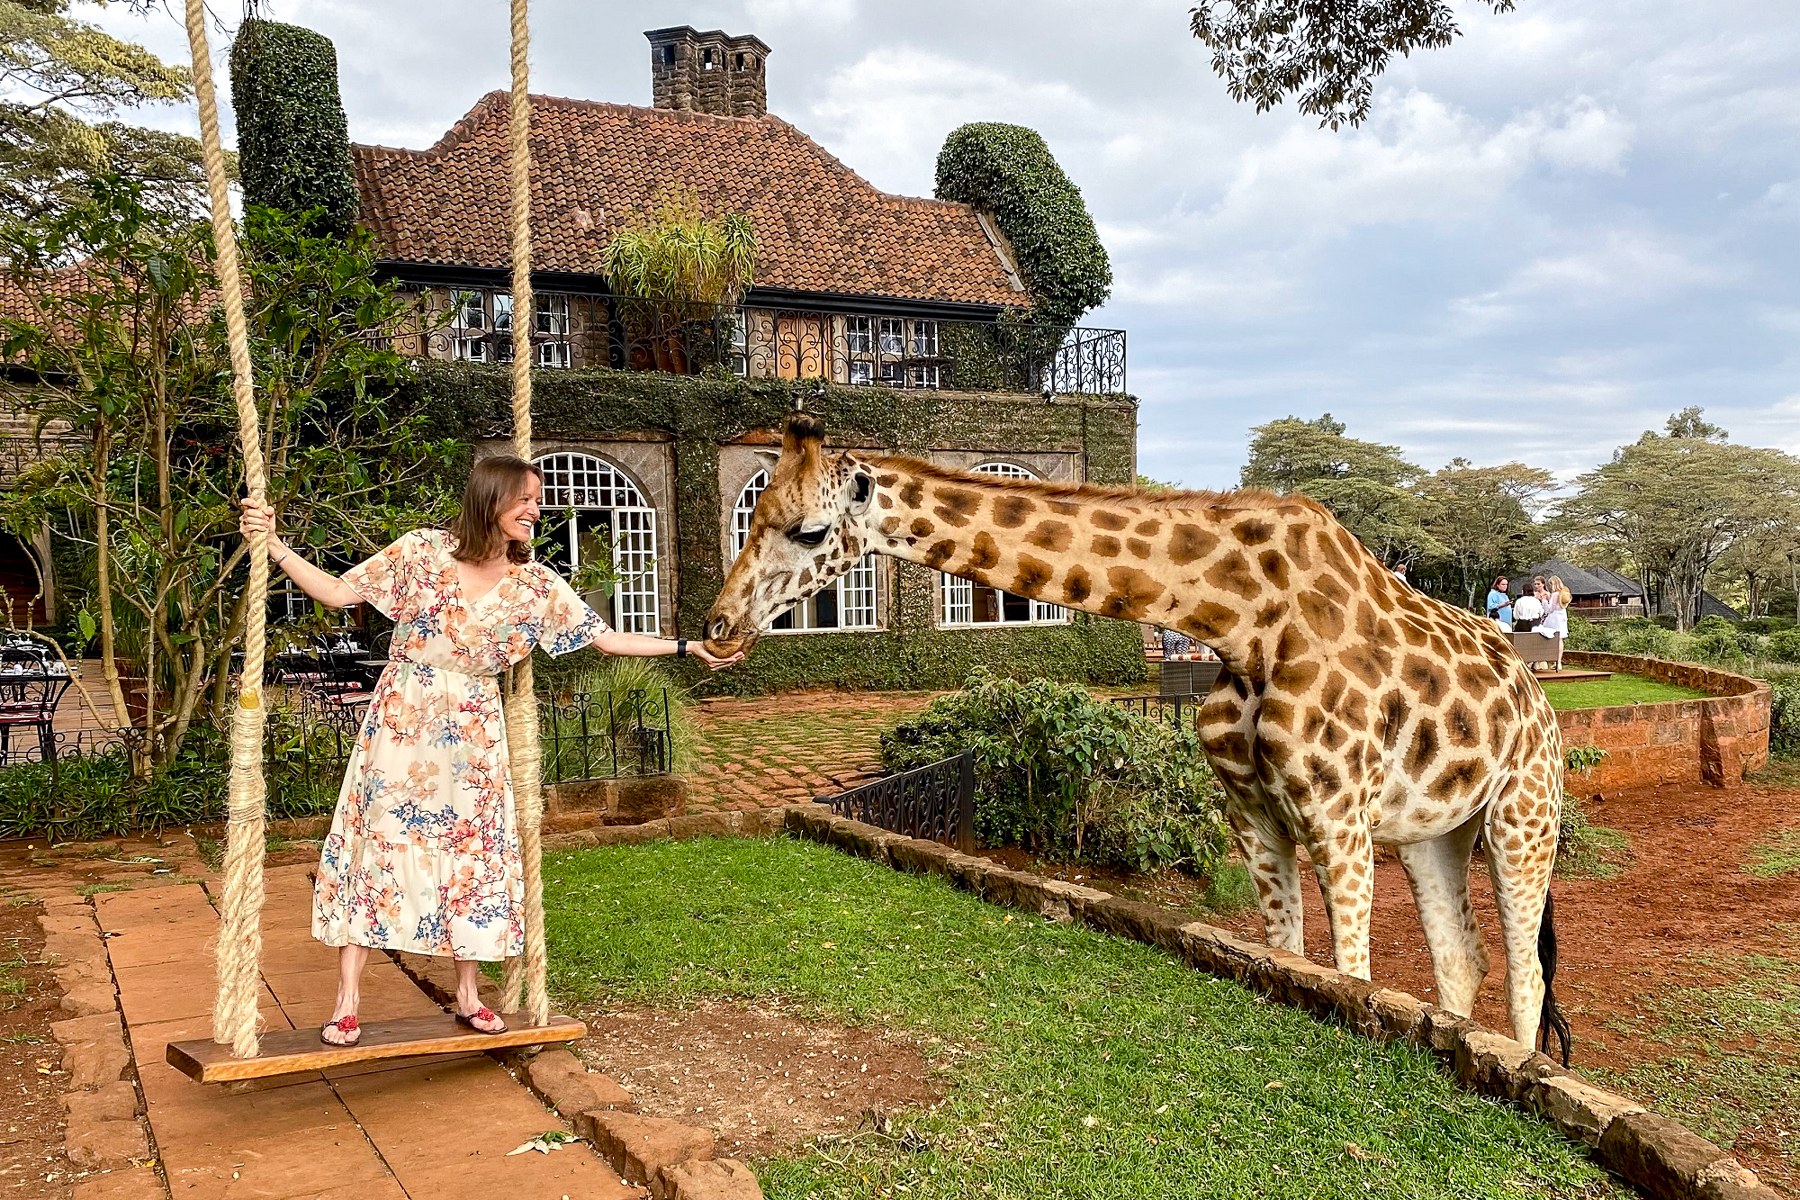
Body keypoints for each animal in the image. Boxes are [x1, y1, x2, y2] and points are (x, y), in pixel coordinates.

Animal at [704, 414, 1568, 1053]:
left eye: (809, 530)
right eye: (756, 513)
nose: (717, 628)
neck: (1241, 621)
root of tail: (1538, 697)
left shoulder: (1338, 817)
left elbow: (1352, 975)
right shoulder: (1254, 814)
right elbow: (1292, 958)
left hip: (1524, 814)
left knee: (1525, 972)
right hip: (1434, 830)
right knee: (1463, 959)